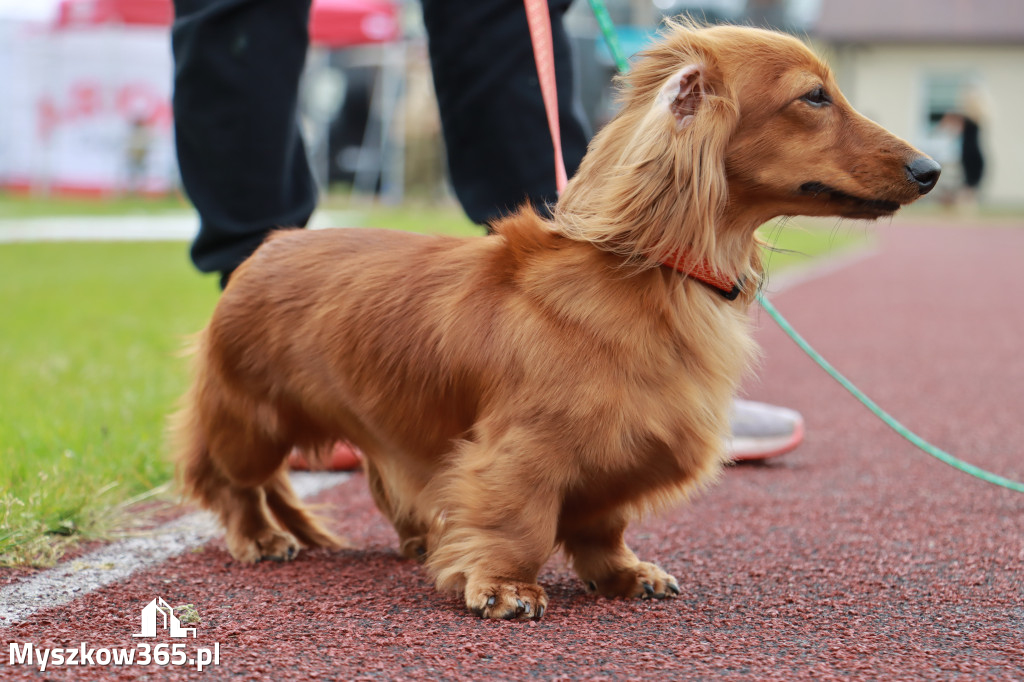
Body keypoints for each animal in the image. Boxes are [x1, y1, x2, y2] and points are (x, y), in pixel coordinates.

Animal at [174, 22, 937, 614]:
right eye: (814, 96)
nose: (930, 170)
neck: (654, 276)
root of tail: (268, 247)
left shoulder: (625, 448)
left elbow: (603, 525)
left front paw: (624, 574)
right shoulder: (521, 452)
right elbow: (523, 523)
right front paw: (503, 585)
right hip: (251, 420)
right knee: (234, 484)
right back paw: (262, 538)